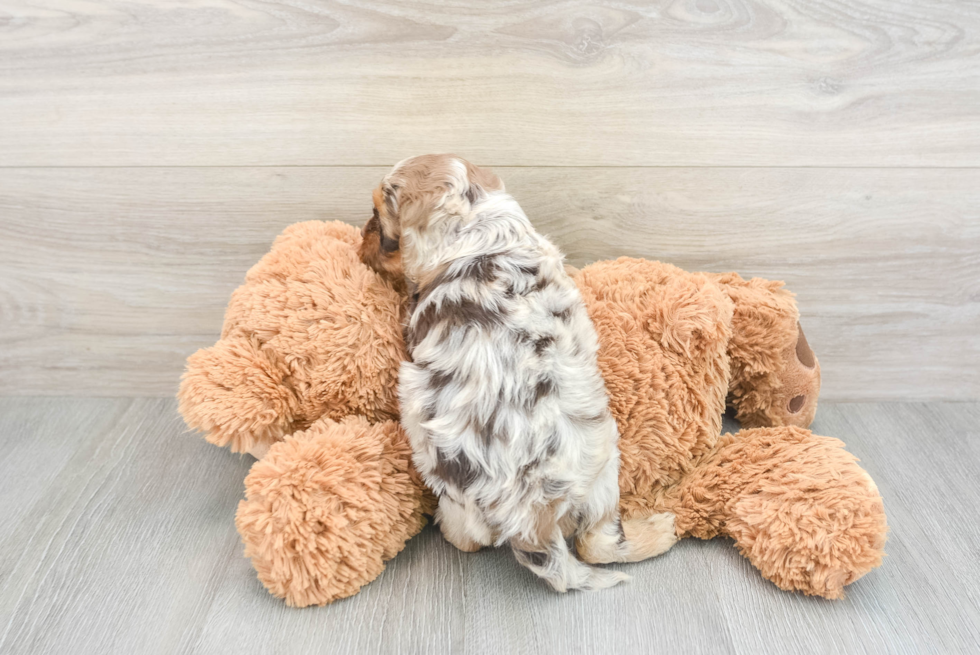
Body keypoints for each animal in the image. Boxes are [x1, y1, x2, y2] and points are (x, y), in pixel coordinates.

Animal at [360, 155, 672, 596]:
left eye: (378, 216)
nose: (361, 238)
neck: (482, 228)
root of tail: (533, 518)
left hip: (455, 482)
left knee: (475, 539)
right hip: (603, 467)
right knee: (598, 542)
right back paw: (661, 531)